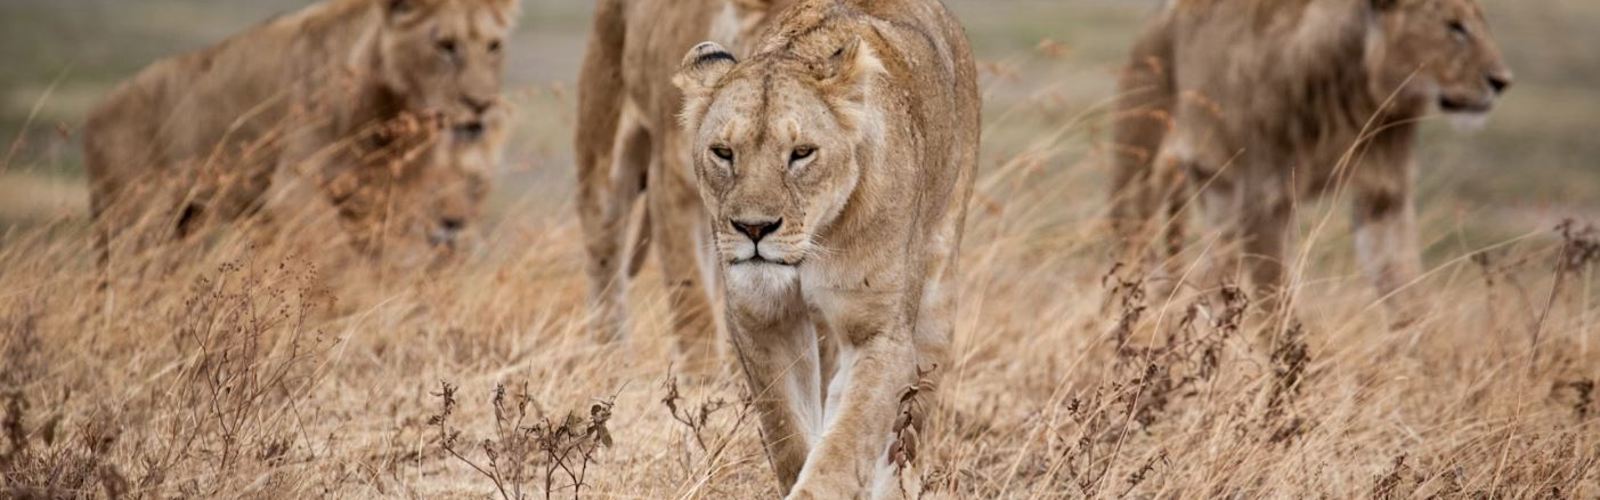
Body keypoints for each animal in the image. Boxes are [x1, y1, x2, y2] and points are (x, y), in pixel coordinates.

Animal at [84, 0, 519, 269]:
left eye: (493, 46)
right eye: (445, 45)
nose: (481, 103)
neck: (389, 118)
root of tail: (98, 109)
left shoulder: (383, 201)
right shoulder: (293, 191)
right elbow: (337, 265)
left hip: (185, 221)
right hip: (135, 222)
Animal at [574, 0, 790, 371]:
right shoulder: (672, 186)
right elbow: (691, 302)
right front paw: (703, 380)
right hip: (602, 156)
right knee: (605, 271)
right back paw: (609, 363)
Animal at [672, 0, 979, 496]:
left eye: (801, 153)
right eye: (723, 152)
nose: (754, 228)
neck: (813, 248)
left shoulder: (881, 332)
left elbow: (848, 439)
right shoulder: (761, 319)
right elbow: (787, 430)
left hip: (938, 294)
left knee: (907, 431)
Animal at [1110, 0, 1513, 326]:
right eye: (1454, 26)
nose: (1502, 82)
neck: (1360, 99)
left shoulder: (1384, 195)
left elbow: (1408, 297)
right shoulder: (1265, 201)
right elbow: (1278, 313)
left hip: (1218, 195)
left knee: (1212, 281)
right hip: (1140, 175)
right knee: (1132, 264)